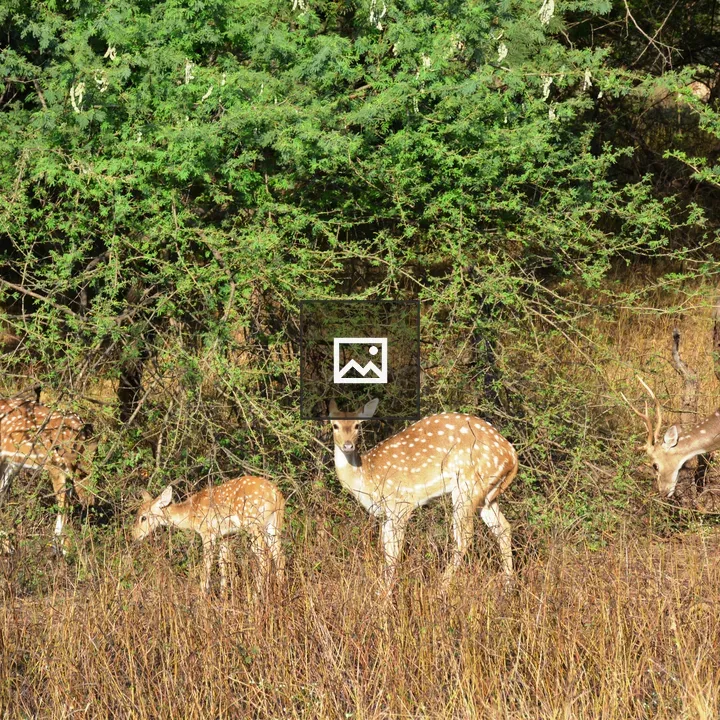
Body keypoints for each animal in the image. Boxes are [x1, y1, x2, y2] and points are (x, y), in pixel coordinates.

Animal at [0, 391, 97, 555]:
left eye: (96, 475)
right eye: (81, 475)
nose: (90, 501)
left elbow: (66, 504)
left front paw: (62, 546)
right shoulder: (54, 466)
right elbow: (63, 505)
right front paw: (63, 549)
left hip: (10, 463)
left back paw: (8, 546)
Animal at [132, 476, 286, 595]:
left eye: (143, 518)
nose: (134, 536)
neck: (191, 513)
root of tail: (275, 493)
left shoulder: (207, 532)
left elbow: (206, 565)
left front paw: (202, 598)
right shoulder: (225, 535)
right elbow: (223, 565)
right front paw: (223, 599)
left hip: (253, 523)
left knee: (264, 557)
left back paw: (256, 596)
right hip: (274, 525)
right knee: (279, 556)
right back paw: (279, 594)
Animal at [328, 398, 518, 592]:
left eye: (357, 425)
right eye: (334, 425)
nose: (348, 445)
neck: (366, 476)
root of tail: (512, 454)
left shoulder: (401, 503)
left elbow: (394, 551)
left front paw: (386, 593)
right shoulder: (386, 514)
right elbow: (386, 549)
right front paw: (382, 590)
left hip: (468, 486)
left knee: (464, 536)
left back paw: (441, 588)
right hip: (486, 495)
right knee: (503, 527)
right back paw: (508, 587)